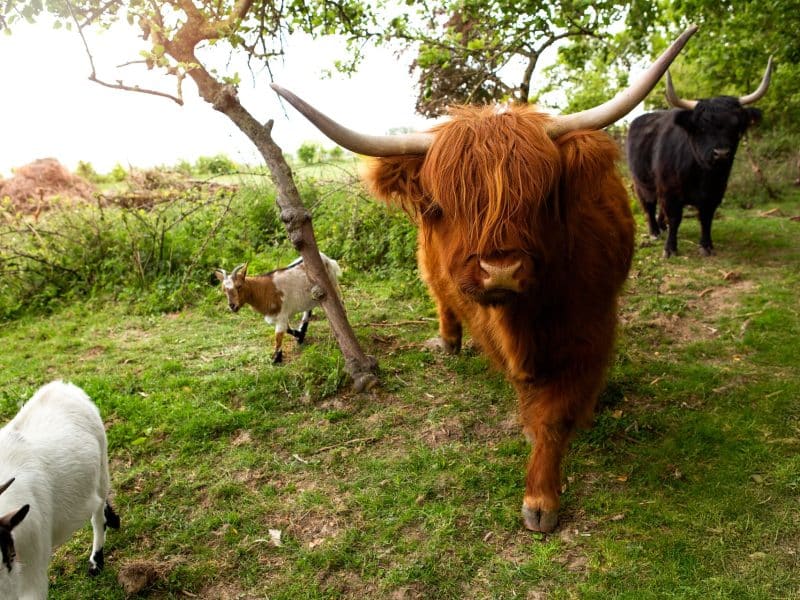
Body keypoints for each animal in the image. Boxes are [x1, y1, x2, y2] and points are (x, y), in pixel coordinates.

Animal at [270, 28, 696, 532]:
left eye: (543, 197)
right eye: (442, 203)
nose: (501, 271)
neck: (524, 321)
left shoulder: (592, 327)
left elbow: (559, 411)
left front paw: (543, 495)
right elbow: (534, 400)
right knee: (441, 298)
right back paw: (448, 342)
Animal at [627, 57, 773, 257]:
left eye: (736, 127)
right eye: (702, 127)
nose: (721, 154)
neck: (701, 175)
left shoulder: (715, 192)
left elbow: (706, 217)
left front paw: (706, 245)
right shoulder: (670, 191)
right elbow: (675, 217)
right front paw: (670, 248)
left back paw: (662, 227)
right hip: (642, 183)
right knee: (649, 205)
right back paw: (655, 231)